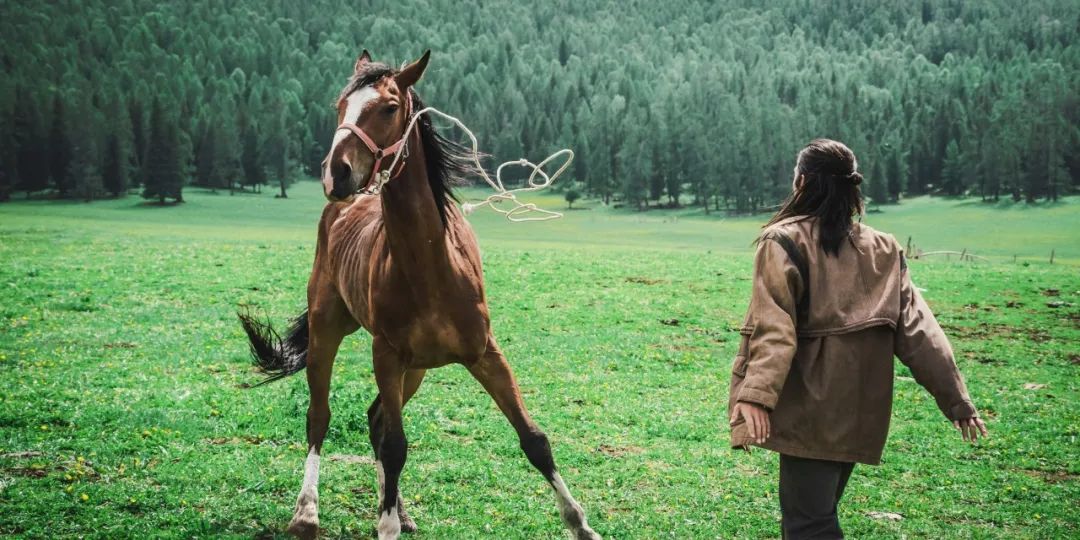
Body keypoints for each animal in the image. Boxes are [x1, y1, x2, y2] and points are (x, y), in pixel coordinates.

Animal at [237, 50, 604, 540]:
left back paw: (398, 508)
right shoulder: (386, 355)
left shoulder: (485, 353)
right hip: (328, 330)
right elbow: (395, 446)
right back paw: (307, 513)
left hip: (416, 370)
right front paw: (384, 524)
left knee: (374, 418)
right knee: (321, 417)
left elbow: (534, 439)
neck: (431, 265)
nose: (336, 172)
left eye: (390, 107)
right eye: (340, 106)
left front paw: (581, 524)